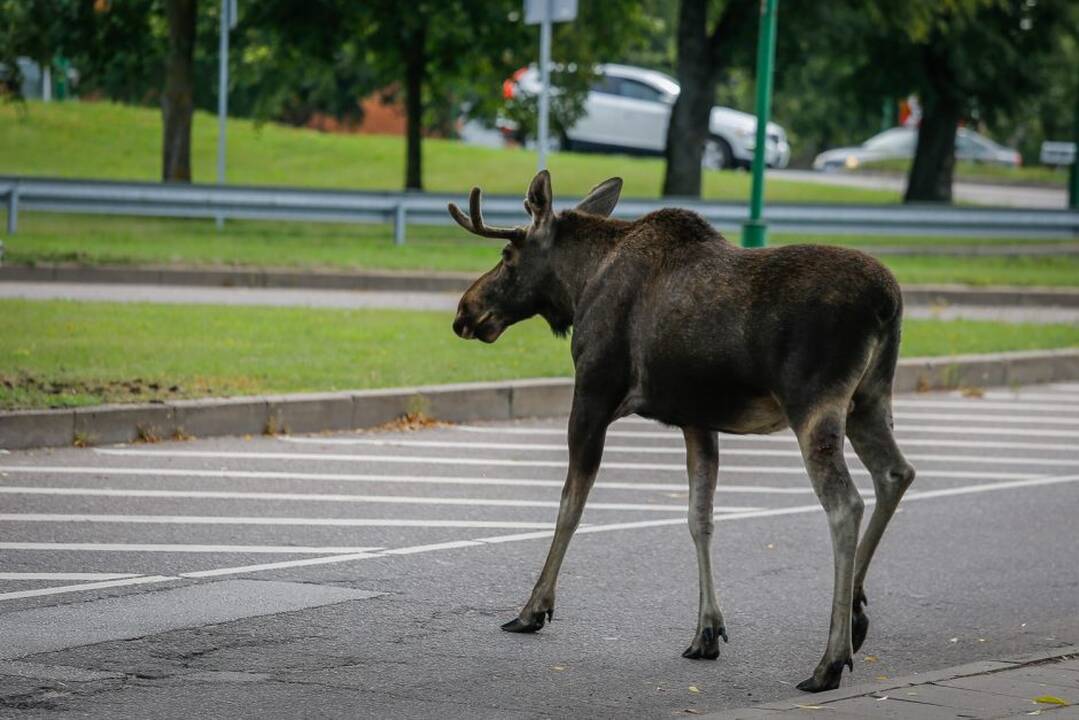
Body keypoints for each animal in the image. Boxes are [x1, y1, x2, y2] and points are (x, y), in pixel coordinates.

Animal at [451, 170, 914, 690]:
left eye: (507, 255)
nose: (464, 312)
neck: (581, 284)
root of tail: (889, 302)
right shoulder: (697, 419)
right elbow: (700, 517)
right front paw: (707, 631)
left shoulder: (593, 392)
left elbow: (570, 505)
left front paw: (533, 608)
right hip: (870, 399)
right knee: (896, 473)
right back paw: (856, 611)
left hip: (816, 404)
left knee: (845, 503)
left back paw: (829, 660)